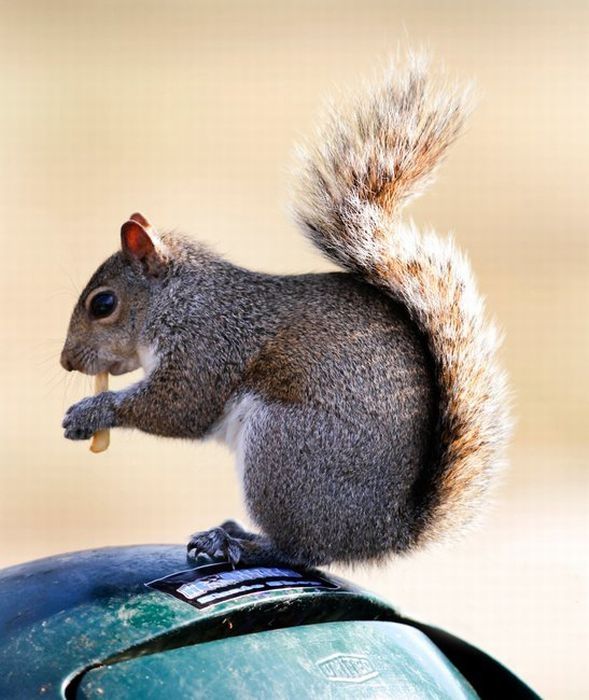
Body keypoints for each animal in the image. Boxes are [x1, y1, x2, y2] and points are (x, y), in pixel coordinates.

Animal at [60, 56, 510, 568]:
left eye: (103, 304)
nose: (67, 361)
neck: (180, 298)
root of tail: (383, 532)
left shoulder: (206, 345)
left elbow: (177, 407)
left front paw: (92, 412)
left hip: (282, 449)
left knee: (299, 550)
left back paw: (237, 542)